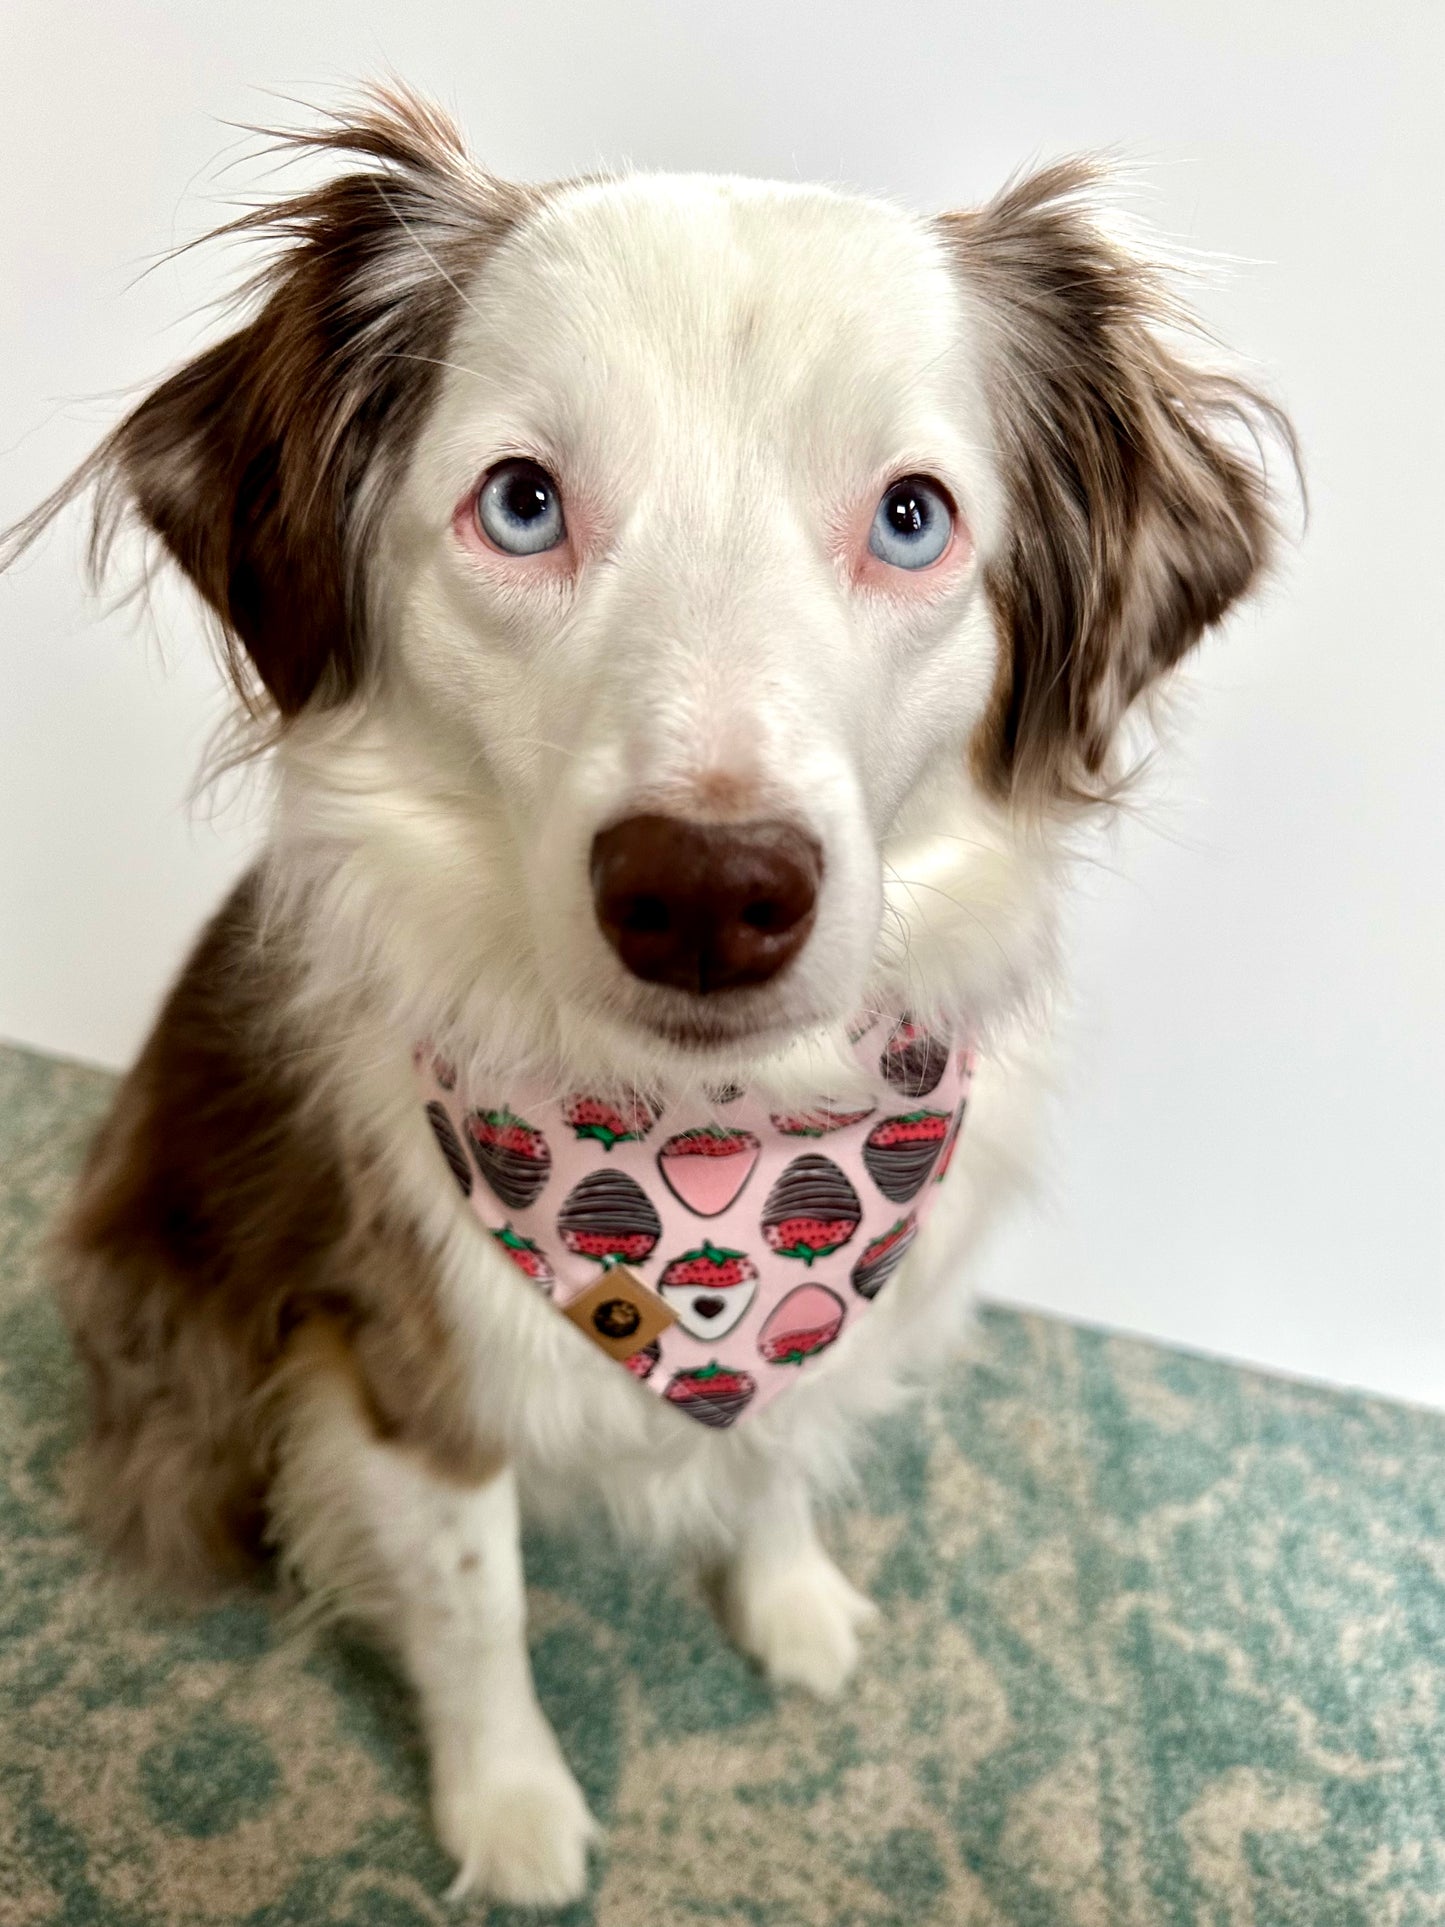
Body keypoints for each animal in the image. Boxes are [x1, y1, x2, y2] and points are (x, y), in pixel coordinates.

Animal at [2, 82, 1302, 1903]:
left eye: (912, 516)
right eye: (522, 502)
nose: (705, 894)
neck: (711, 1147)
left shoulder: (822, 1298)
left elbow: (780, 1442)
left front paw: (790, 1601)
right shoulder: (401, 1355)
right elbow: (475, 1600)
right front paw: (511, 1805)